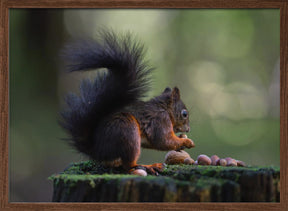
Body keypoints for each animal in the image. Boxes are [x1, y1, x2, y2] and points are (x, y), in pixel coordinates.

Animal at [59, 30, 195, 175]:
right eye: (184, 114)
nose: (188, 129)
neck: (165, 109)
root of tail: (98, 151)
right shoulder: (160, 120)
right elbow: (163, 140)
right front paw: (186, 141)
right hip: (127, 132)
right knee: (128, 165)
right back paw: (148, 166)